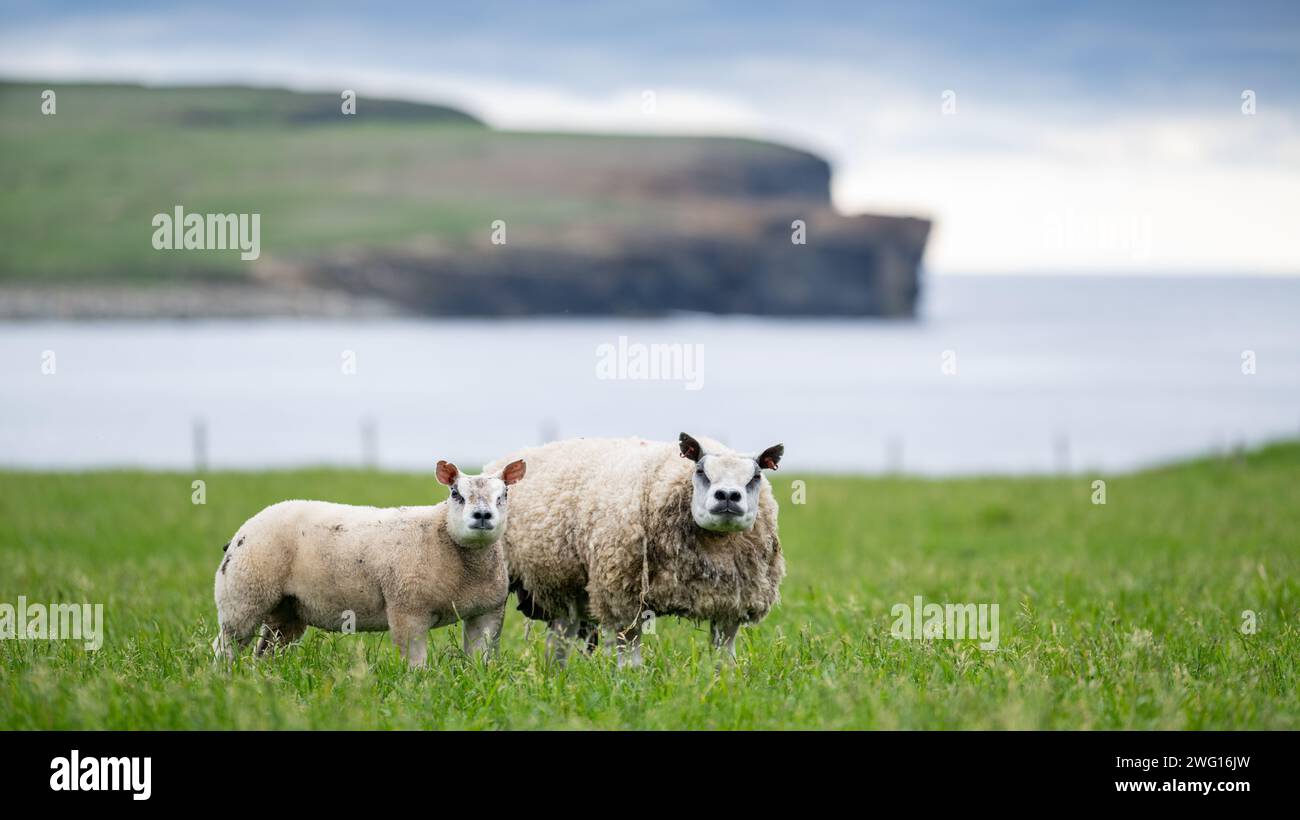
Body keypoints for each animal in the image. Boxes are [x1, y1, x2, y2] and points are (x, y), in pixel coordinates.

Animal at [213, 460, 522, 670]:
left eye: (504, 494)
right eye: (456, 493)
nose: (482, 515)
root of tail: (246, 527)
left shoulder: (487, 612)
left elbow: (479, 659)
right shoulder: (408, 610)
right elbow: (416, 664)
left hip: (286, 609)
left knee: (266, 651)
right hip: (242, 595)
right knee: (225, 645)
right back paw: (223, 678)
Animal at [486, 434, 780, 665]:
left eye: (756, 476)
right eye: (700, 471)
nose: (728, 496)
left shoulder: (730, 604)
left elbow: (724, 659)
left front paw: (723, 684)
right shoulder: (623, 598)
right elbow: (630, 662)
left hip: (567, 586)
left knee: (558, 641)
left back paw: (555, 677)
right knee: (494, 631)